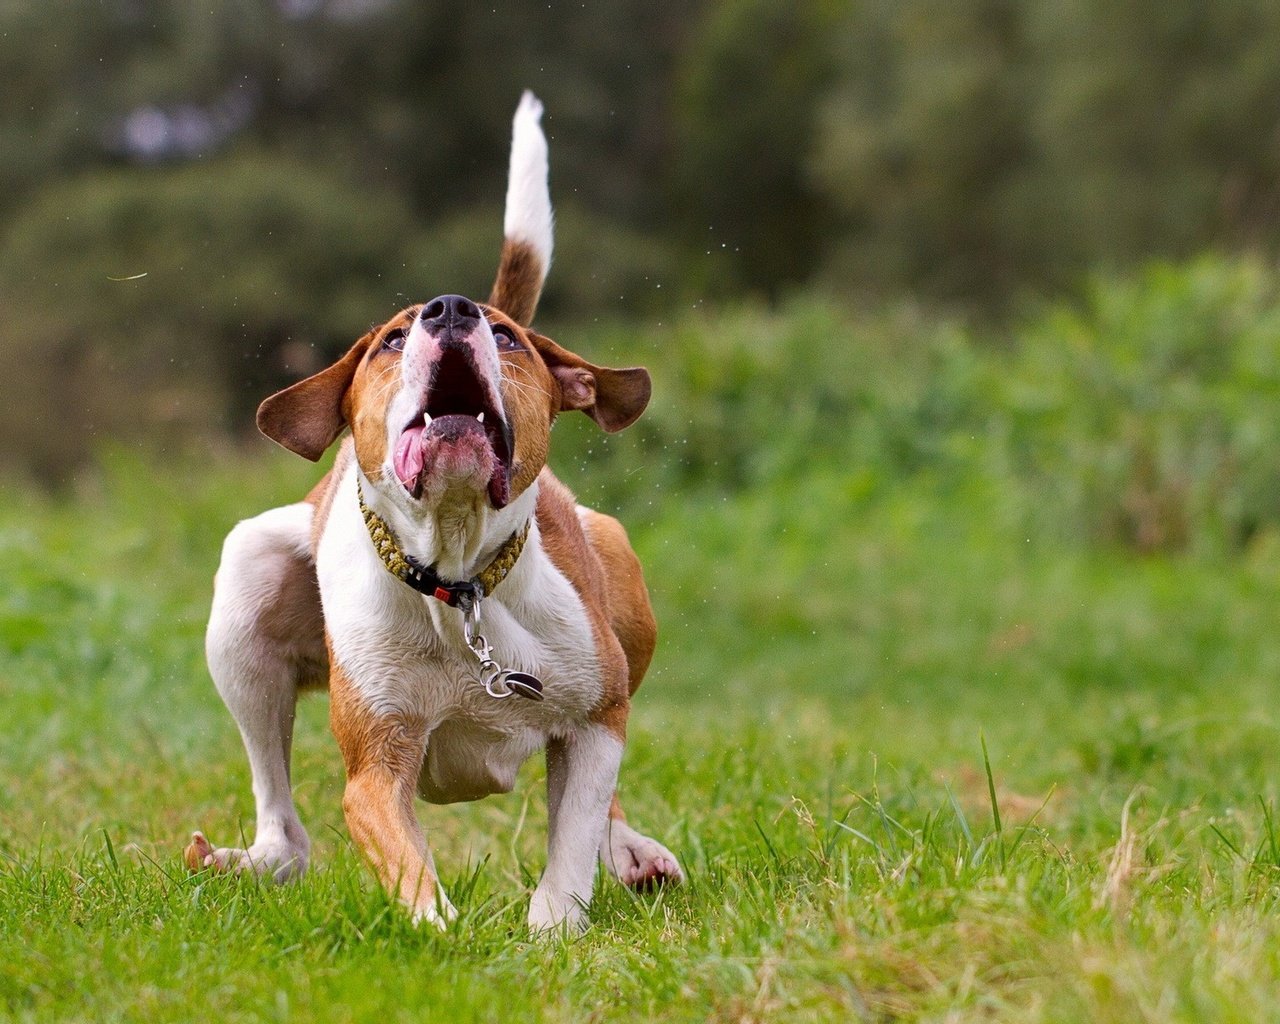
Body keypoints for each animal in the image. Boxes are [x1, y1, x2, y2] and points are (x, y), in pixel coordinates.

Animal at [185, 92, 686, 931]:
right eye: (392, 338)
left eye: (508, 338)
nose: (452, 310)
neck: (458, 584)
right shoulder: (375, 769)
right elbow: (408, 868)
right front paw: (447, 936)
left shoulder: (594, 717)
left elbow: (576, 831)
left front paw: (553, 929)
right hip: (246, 588)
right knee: (287, 831)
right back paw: (249, 860)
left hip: (621, 582)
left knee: (605, 799)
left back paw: (635, 855)